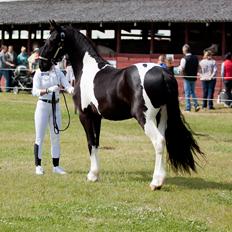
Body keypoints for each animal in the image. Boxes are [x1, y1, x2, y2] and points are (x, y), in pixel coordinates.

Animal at [39, 20, 204, 190]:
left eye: (52, 40)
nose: (41, 64)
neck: (88, 70)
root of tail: (164, 73)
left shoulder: (85, 115)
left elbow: (90, 143)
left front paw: (91, 175)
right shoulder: (97, 117)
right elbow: (96, 143)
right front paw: (95, 174)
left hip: (144, 117)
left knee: (158, 142)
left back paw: (155, 183)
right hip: (163, 116)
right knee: (163, 140)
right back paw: (160, 179)